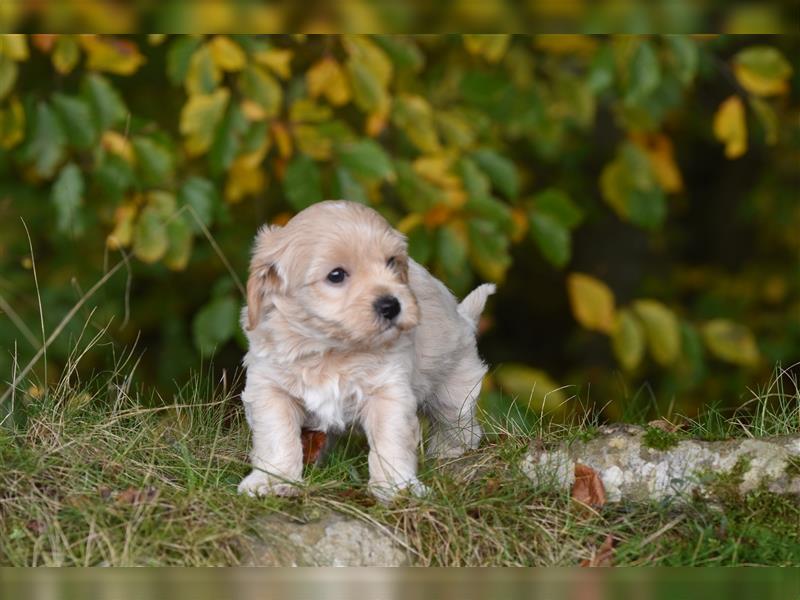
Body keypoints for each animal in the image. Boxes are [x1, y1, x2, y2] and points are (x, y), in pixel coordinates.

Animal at [236, 202, 494, 502]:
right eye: (336, 275)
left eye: (392, 262)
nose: (391, 305)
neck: (332, 350)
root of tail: (464, 317)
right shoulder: (270, 388)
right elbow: (277, 437)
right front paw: (272, 480)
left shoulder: (389, 391)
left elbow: (390, 440)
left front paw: (397, 486)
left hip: (454, 387)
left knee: (457, 424)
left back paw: (448, 453)